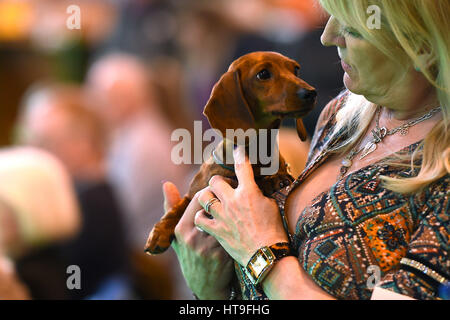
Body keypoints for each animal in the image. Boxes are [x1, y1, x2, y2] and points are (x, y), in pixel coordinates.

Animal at [145, 50, 316, 255]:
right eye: (263, 74)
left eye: (296, 69)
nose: (311, 92)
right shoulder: (195, 192)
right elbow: (178, 207)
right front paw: (159, 232)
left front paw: (273, 179)